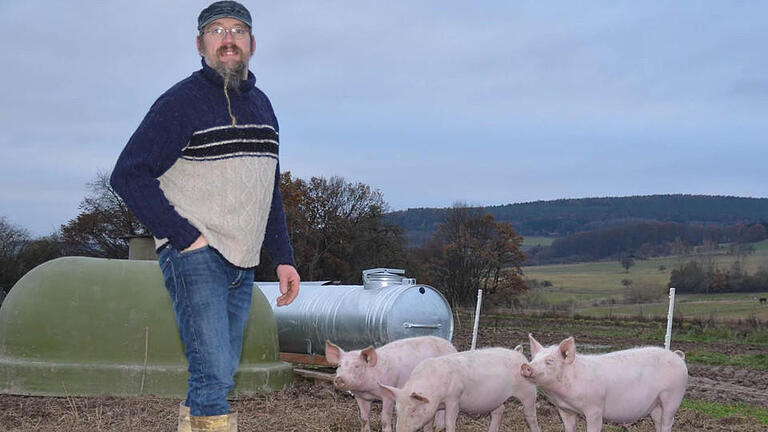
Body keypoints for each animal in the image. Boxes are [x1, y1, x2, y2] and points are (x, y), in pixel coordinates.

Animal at [324, 338, 456, 432]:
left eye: (356, 366)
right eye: (339, 365)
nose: (339, 379)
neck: (367, 390)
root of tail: (451, 346)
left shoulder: (388, 395)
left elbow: (384, 419)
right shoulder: (360, 397)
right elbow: (364, 418)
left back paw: (438, 428)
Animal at [378, 348, 540, 432]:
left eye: (413, 410)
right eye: (397, 410)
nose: (400, 430)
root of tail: (518, 352)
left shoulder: (454, 398)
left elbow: (450, 421)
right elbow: (428, 425)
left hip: (528, 390)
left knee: (530, 415)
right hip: (496, 398)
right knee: (499, 411)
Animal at [520, 334, 688, 432]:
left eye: (550, 361)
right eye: (533, 359)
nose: (525, 366)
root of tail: (677, 357)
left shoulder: (594, 408)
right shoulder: (564, 409)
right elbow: (569, 427)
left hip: (673, 396)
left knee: (668, 421)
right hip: (656, 403)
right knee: (658, 421)